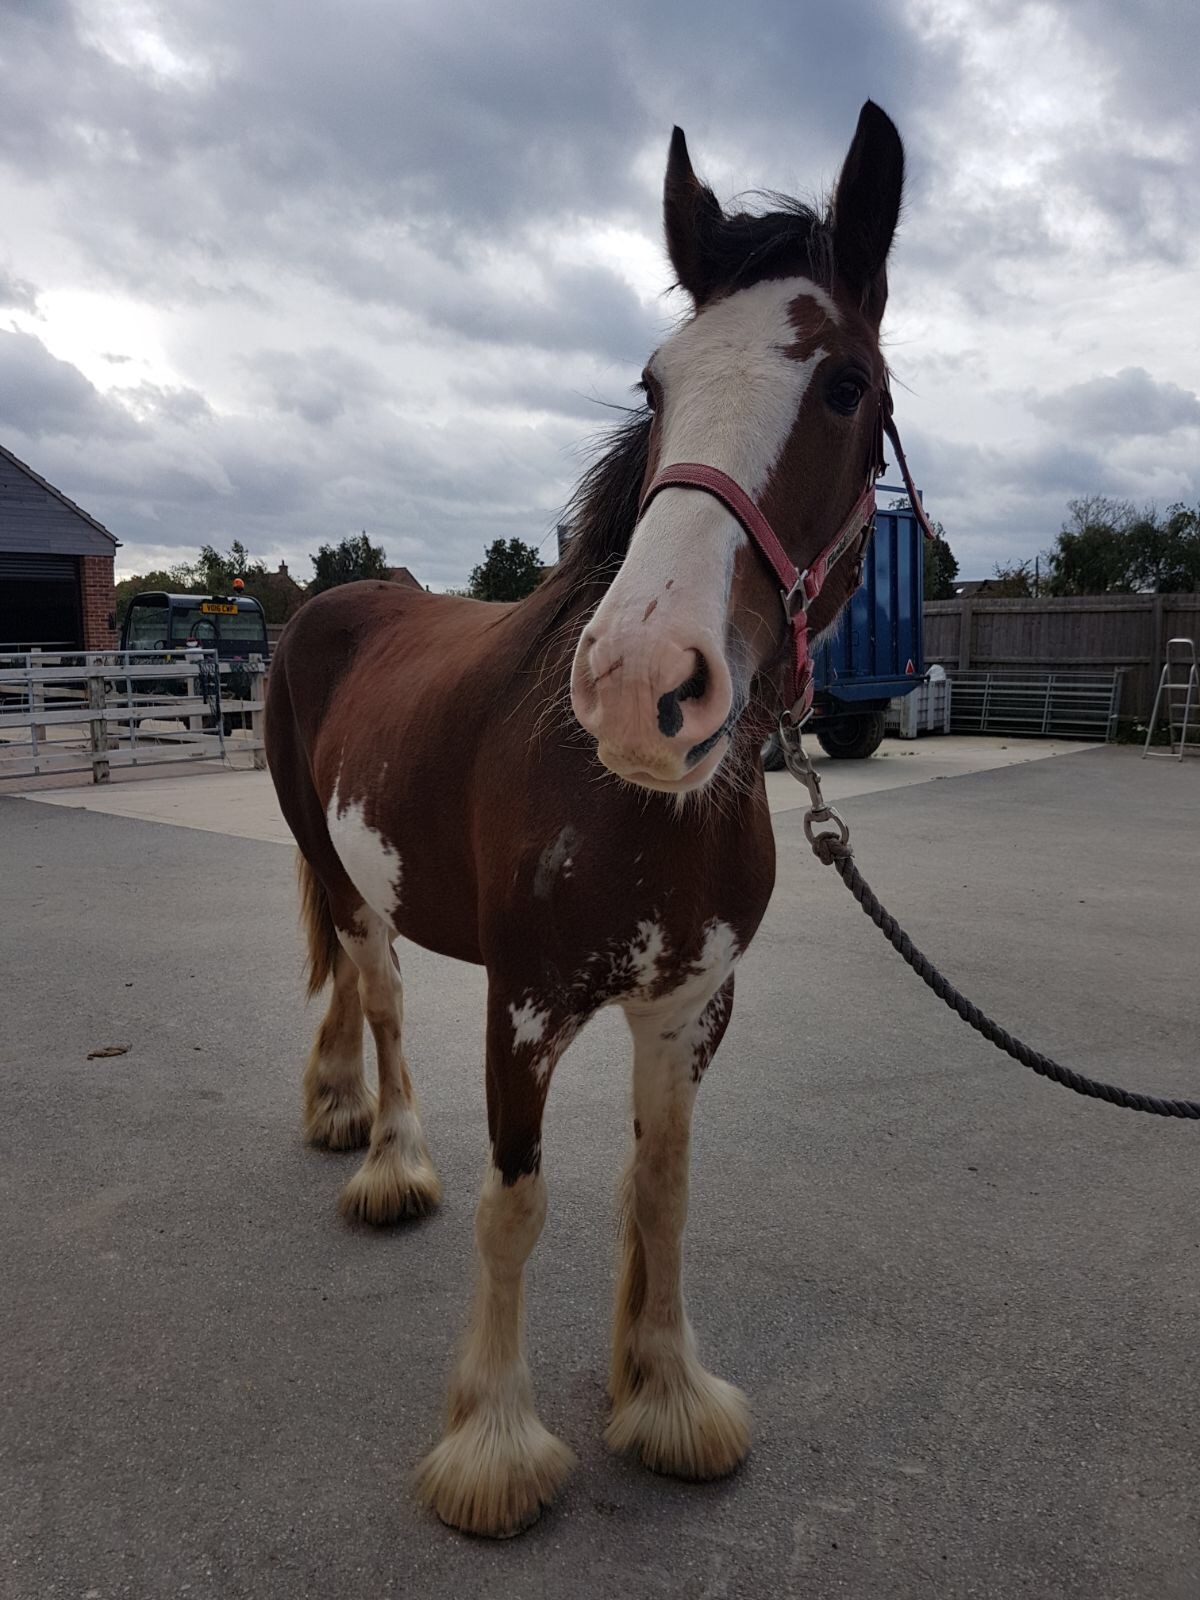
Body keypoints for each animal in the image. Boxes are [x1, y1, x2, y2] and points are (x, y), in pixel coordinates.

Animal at [267, 103, 908, 1536]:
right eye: (656, 385)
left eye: (847, 385)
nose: (641, 681)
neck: (636, 803)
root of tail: (336, 600)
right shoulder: (525, 1002)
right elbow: (517, 1201)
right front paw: (495, 1446)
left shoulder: (690, 1006)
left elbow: (659, 1192)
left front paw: (664, 1395)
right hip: (339, 867)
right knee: (378, 998)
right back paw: (387, 1156)